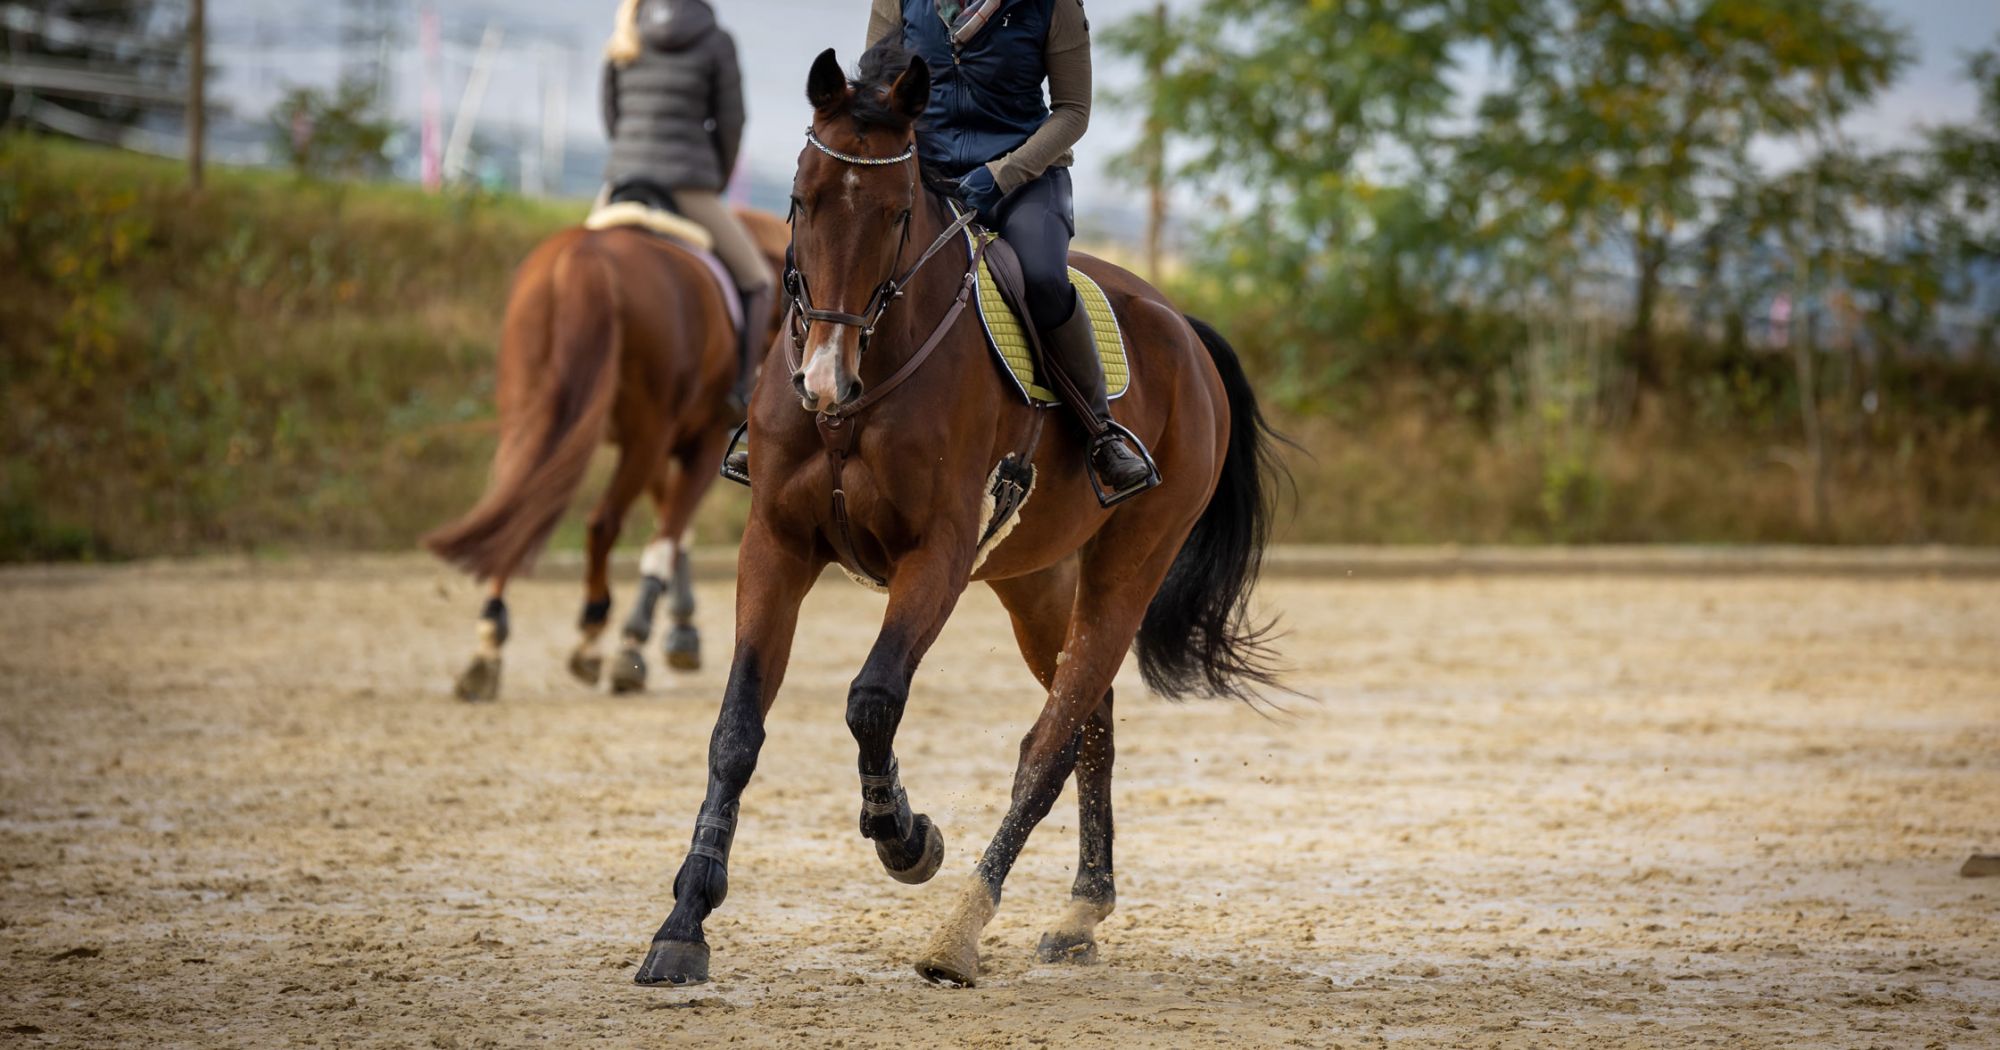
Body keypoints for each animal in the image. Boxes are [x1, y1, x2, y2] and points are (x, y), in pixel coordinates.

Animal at [426, 206, 784, 700]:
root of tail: (585, 256)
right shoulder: (701, 439)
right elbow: (670, 529)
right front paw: (642, 640)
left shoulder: (662, 444)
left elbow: (672, 526)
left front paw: (681, 630)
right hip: (647, 431)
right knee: (602, 523)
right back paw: (598, 638)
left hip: (533, 414)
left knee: (518, 512)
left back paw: (488, 648)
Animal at [632, 45, 1280, 988]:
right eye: (801, 197)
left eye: (900, 213)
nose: (822, 378)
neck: (866, 387)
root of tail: (1180, 326)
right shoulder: (777, 547)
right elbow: (736, 729)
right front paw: (685, 921)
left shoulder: (935, 556)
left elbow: (873, 700)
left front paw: (906, 837)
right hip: (1037, 582)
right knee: (1091, 722)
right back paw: (1081, 909)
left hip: (1130, 564)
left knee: (1049, 745)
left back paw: (961, 930)